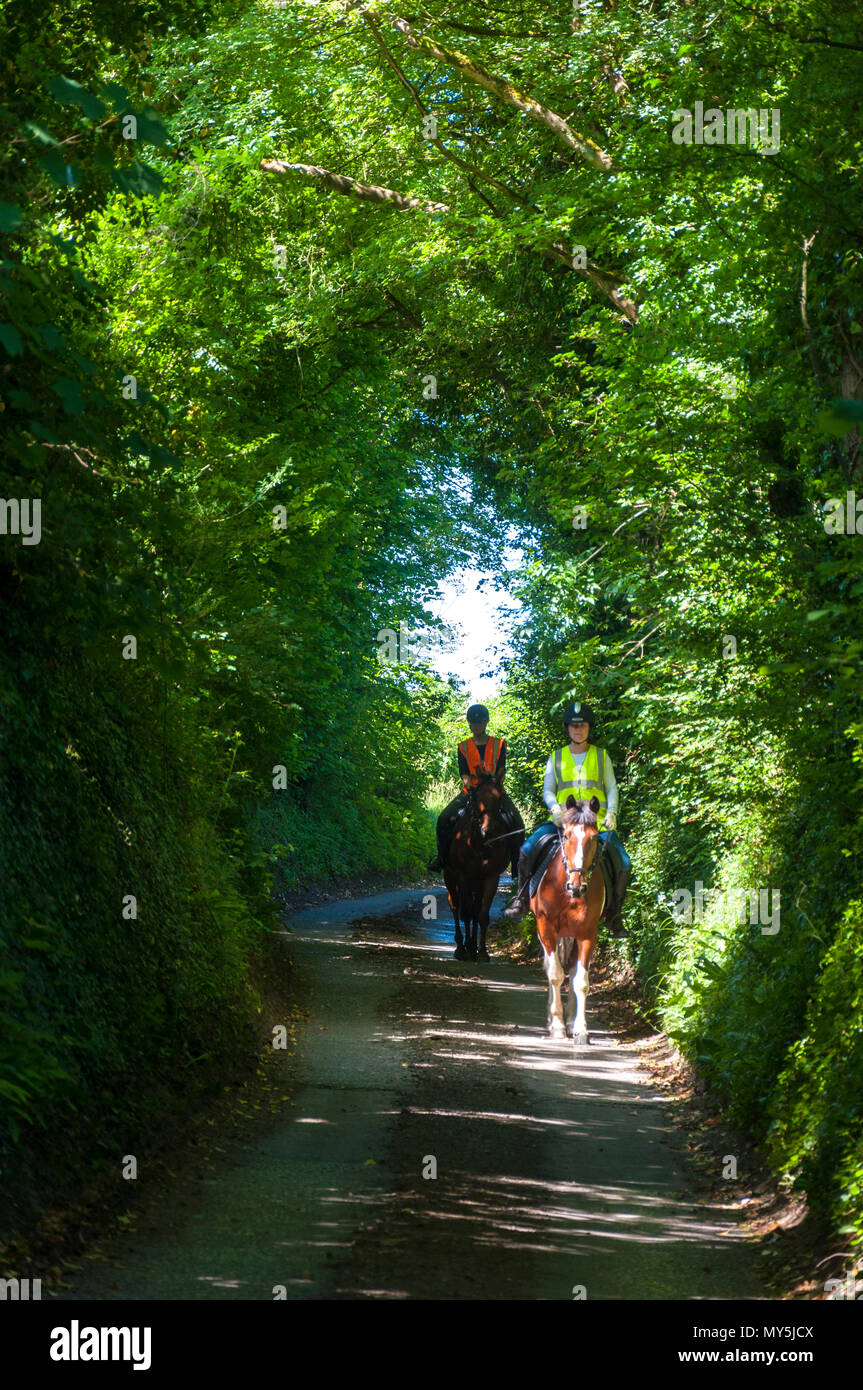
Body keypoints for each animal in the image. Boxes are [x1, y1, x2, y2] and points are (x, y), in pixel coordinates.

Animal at [441, 767, 522, 961]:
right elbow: (466, 913)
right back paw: (461, 946)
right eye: (477, 798)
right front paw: (467, 949)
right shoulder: (463, 876)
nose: (488, 831)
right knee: (455, 907)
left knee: (475, 910)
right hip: (450, 877)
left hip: (476, 883)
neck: (479, 843)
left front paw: (482, 951)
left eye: (499, 798)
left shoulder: (491, 877)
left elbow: (482, 914)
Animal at [530, 795, 605, 1045]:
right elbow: (554, 974)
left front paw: (580, 1029)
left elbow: (581, 981)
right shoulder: (546, 928)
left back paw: (572, 1019)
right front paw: (557, 1025)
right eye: (567, 836)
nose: (577, 886)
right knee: (551, 967)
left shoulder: (588, 934)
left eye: (594, 837)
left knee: (571, 972)